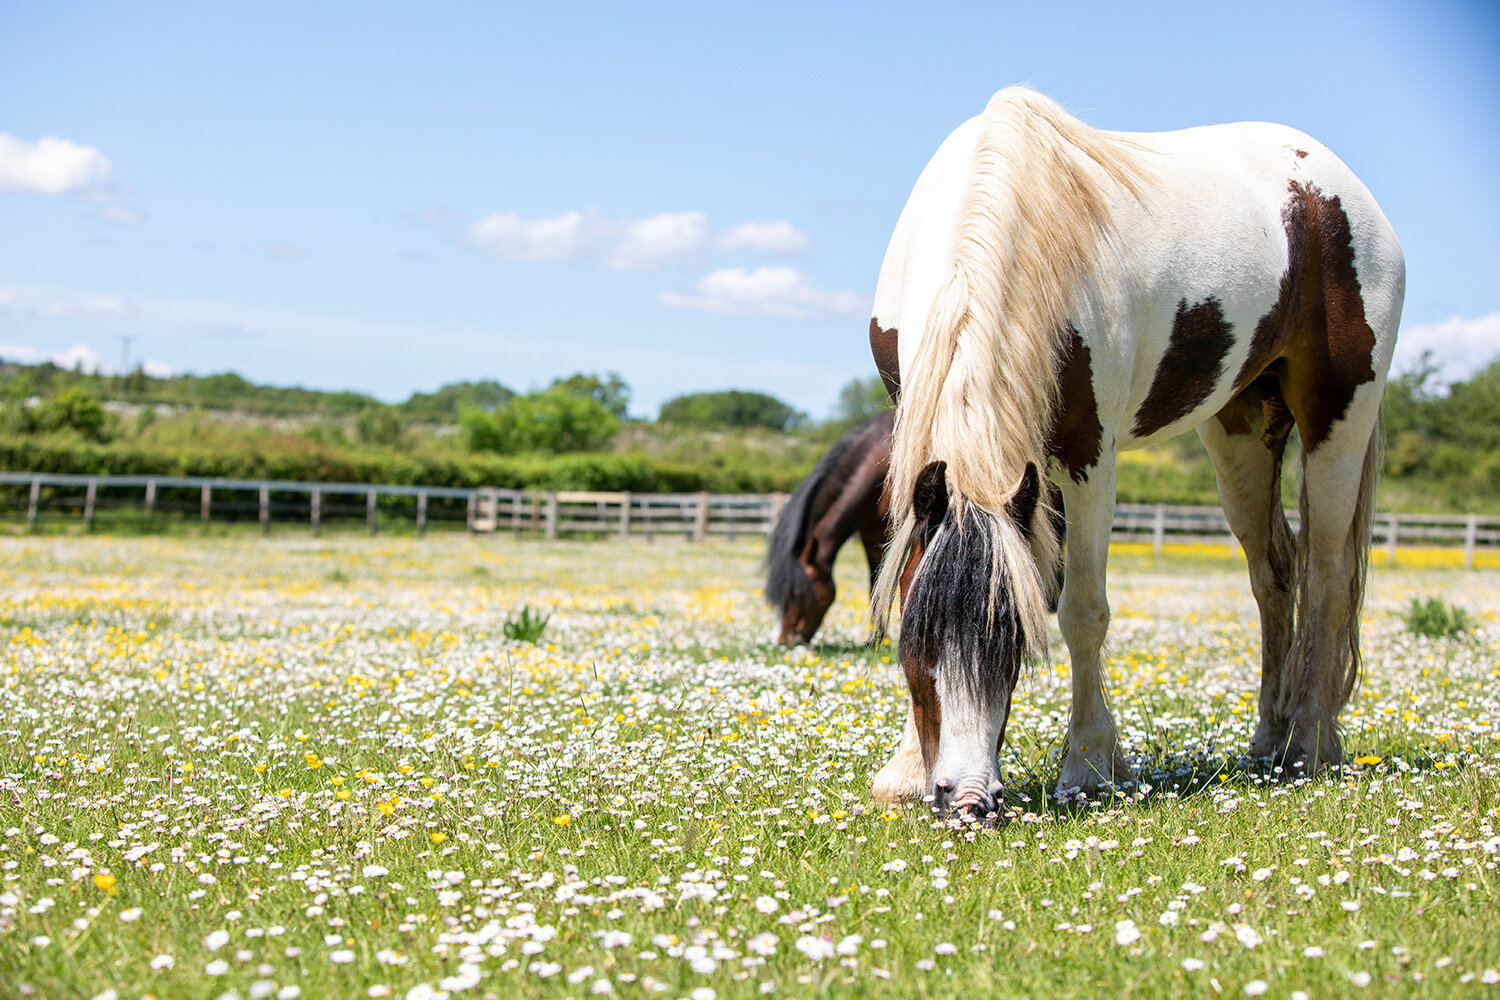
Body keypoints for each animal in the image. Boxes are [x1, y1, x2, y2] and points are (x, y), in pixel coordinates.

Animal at [870, 88, 1404, 821]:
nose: (969, 800)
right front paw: (903, 771)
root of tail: (1331, 188)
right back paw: (1268, 741)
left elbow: (1083, 611)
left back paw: (1308, 746)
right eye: (920, 643)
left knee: (1326, 575)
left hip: (1339, 418)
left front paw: (1091, 765)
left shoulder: (1089, 455)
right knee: (1275, 572)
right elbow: (911, 576)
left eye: (1013, 643)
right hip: (1240, 429)